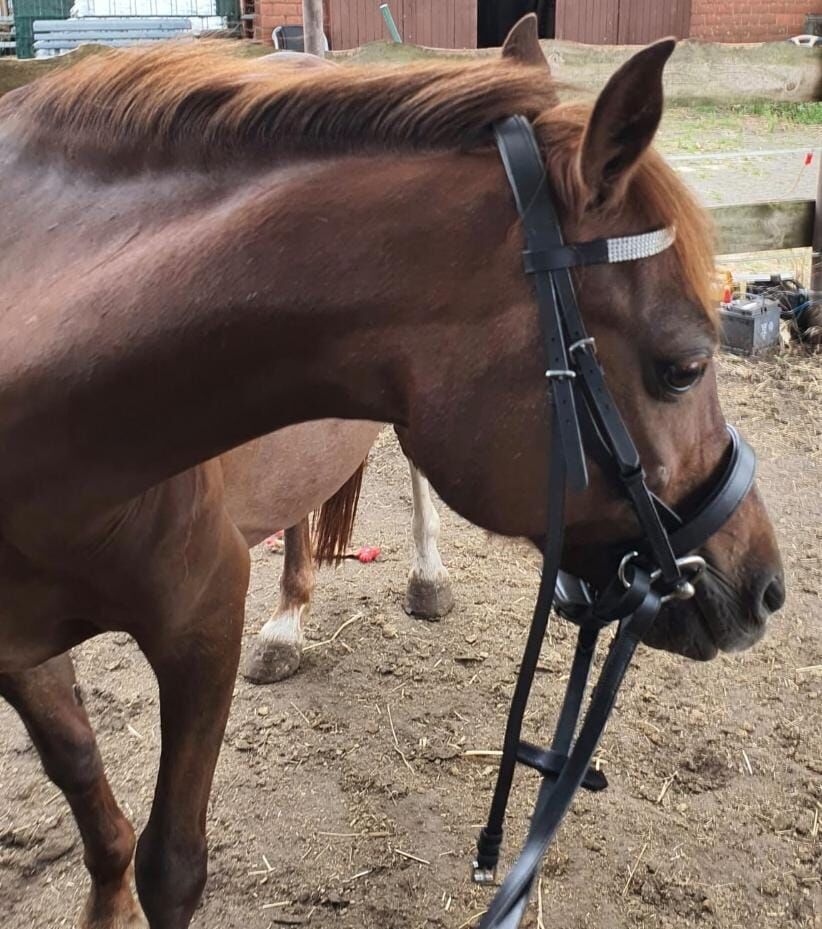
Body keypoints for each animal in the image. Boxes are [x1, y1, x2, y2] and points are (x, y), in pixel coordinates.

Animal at [0, 16, 784, 929]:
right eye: (686, 367)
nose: (768, 586)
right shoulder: (26, 651)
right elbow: (91, 795)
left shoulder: (201, 621)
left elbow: (174, 862)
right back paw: (288, 623)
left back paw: (424, 576)